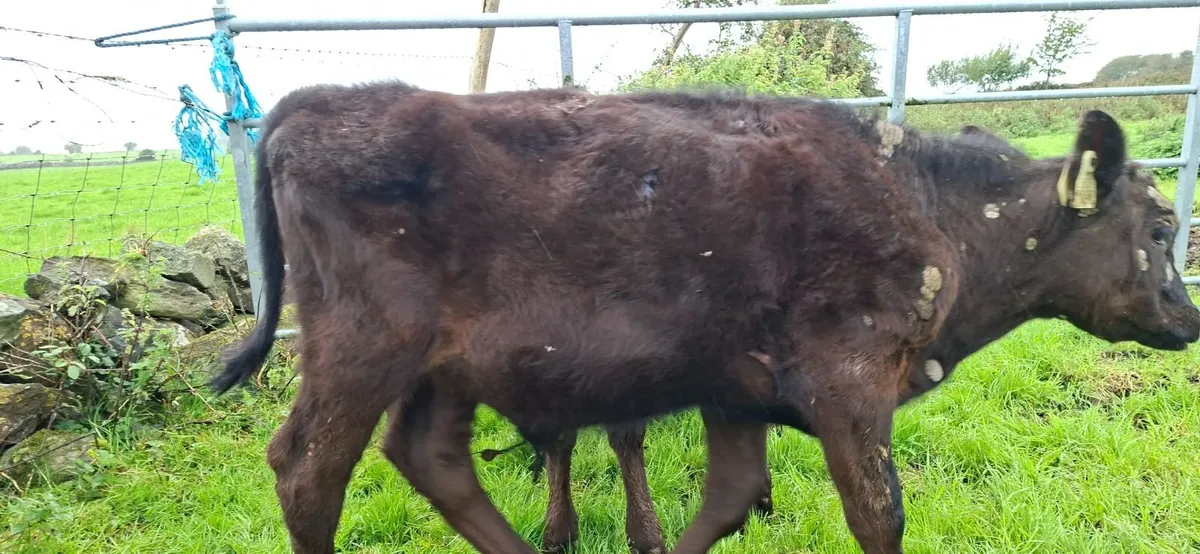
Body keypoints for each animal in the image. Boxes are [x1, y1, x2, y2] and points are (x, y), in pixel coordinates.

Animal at [210, 80, 1198, 554]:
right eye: (1159, 229)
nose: (1187, 321)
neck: (929, 204)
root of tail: (333, 98)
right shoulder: (850, 387)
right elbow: (879, 514)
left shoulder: (735, 390)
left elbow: (728, 500)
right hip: (361, 348)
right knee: (306, 471)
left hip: (446, 370)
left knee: (433, 460)